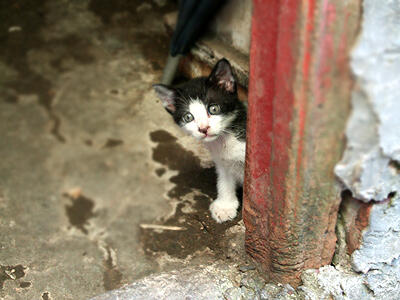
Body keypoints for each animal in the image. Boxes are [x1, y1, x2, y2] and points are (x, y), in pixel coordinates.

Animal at [154, 58, 245, 223]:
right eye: (188, 117)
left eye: (213, 109)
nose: (203, 128)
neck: (226, 139)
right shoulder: (221, 161)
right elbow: (224, 180)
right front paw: (225, 205)